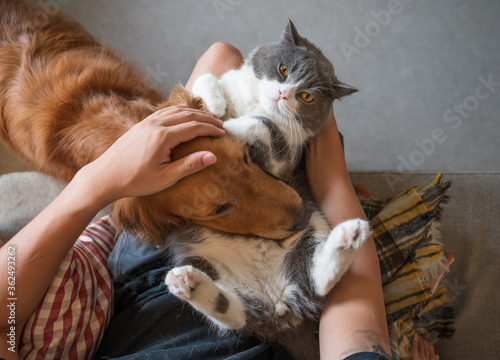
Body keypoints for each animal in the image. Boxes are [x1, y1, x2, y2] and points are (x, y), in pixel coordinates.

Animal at [165, 21, 372, 358]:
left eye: (307, 96)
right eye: (283, 69)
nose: (282, 94)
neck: (254, 103)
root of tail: (279, 304)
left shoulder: (286, 159)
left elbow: (264, 124)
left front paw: (228, 128)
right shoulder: (229, 81)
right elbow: (209, 79)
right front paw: (214, 107)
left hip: (310, 234)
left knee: (317, 282)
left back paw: (349, 235)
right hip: (201, 259)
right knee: (233, 312)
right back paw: (187, 282)